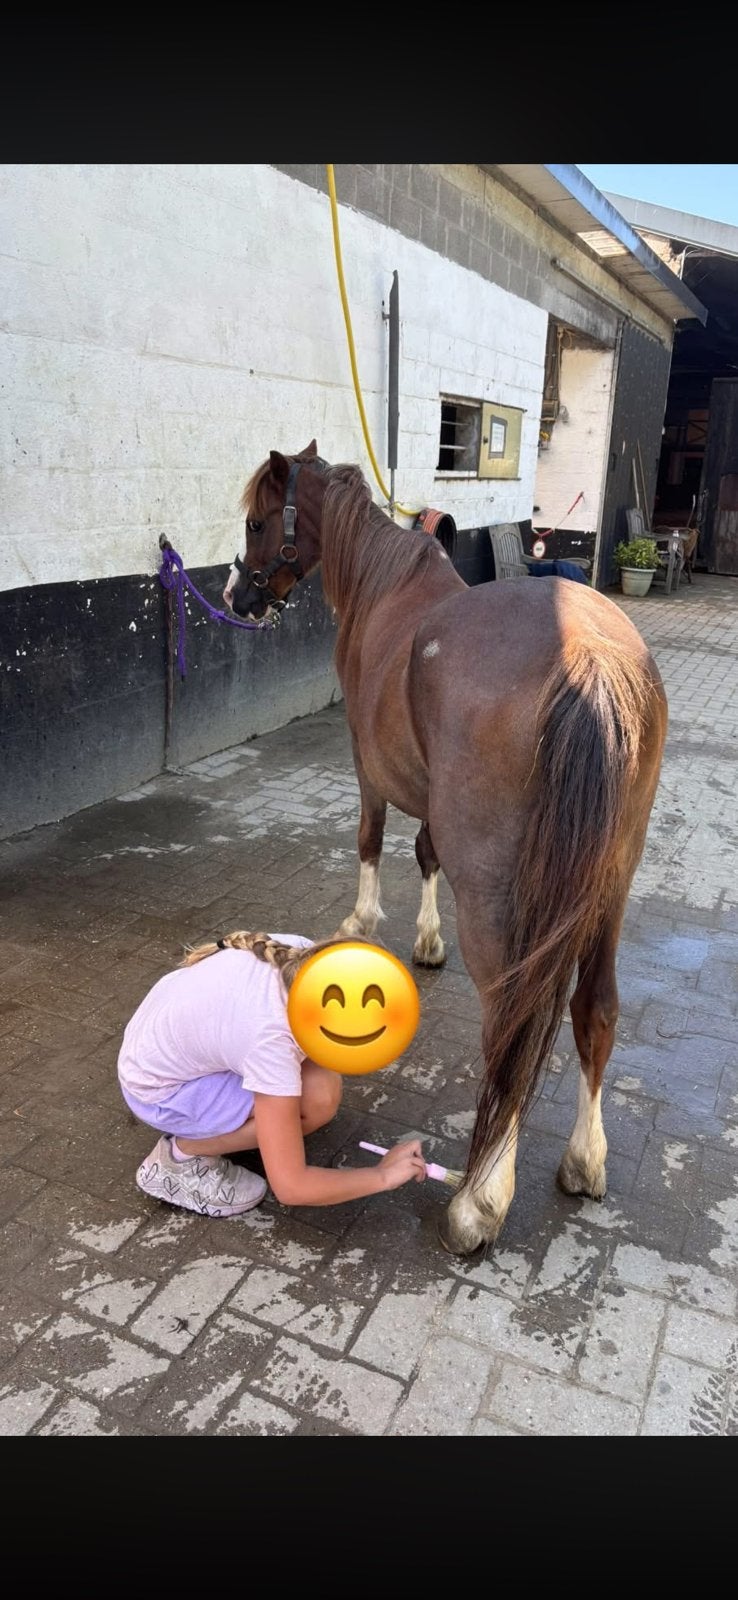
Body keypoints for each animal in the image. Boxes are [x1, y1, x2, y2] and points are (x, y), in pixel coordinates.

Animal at [225, 440, 668, 1256]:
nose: (239, 596)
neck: (386, 589)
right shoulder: (427, 794)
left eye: (260, 521)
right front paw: (427, 940)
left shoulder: (367, 764)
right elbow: (425, 851)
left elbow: (371, 840)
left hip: (496, 897)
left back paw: (479, 1202)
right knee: (594, 1010)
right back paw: (584, 1160)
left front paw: (361, 924)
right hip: (610, 888)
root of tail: (588, 653)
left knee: (511, 1025)